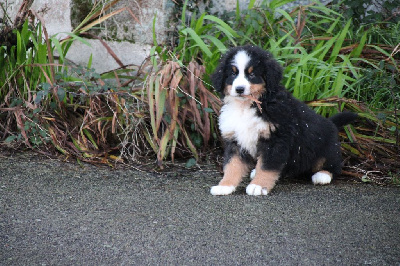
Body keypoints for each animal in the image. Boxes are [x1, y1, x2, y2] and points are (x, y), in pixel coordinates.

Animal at [211, 45, 358, 195]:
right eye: (233, 74)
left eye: (252, 74)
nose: (239, 89)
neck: (246, 106)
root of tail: (331, 123)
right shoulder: (235, 140)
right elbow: (232, 165)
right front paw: (225, 185)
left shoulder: (275, 139)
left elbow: (267, 166)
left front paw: (258, 185)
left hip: (327, 149)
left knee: (334, 166)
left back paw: (322, 175)